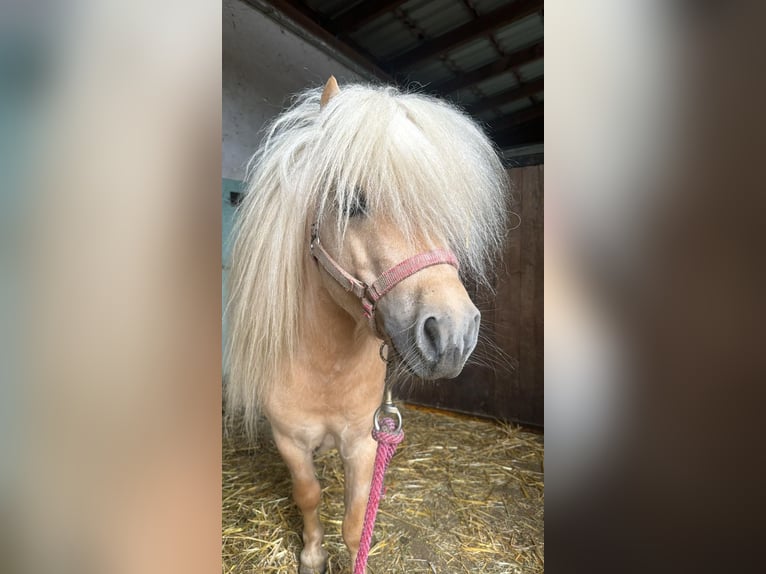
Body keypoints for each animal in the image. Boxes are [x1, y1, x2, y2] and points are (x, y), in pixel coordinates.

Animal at [224, 77, 510, 574]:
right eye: (352, 203)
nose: (453, 335)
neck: (326, 369)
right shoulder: (289, 440)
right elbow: (309, 494)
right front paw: (312, 554)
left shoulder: (364, 442)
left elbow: (358, 521)